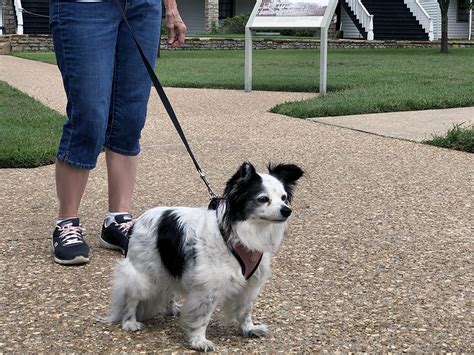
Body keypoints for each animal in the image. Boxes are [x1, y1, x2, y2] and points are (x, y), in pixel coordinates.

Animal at [104, 163, 304, 352]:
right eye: (263, 199)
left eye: (284, 198)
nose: (287, 210)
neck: (241, 233)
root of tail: (137, 222)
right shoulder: (208, 288)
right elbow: (202, 317)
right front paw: (199, 341)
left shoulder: (251, 283)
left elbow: (245, 310)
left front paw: (249, 329)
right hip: (142, 274)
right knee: (131, 298)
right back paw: (129, 322)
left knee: (169, 288)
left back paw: (172, 308)